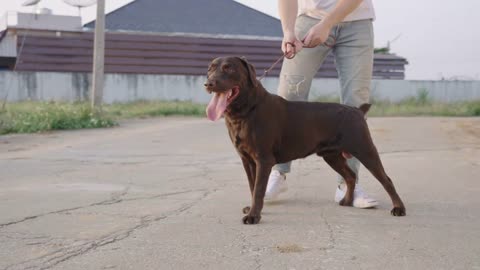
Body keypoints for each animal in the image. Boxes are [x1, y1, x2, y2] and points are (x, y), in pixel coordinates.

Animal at [203, 56, 404, 224]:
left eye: (229, 68)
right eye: (210, 69)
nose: (208, 83)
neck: (247, 110)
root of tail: (357, 110)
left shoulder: (263, 159)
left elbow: (259, 189)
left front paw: (253, 216)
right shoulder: (247, 160)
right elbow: (253, 187)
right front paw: (253, 209)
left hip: (364, 149)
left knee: (386, 179)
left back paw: (399, 208)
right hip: (332, 155)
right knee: (350, 176)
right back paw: (347, 201)